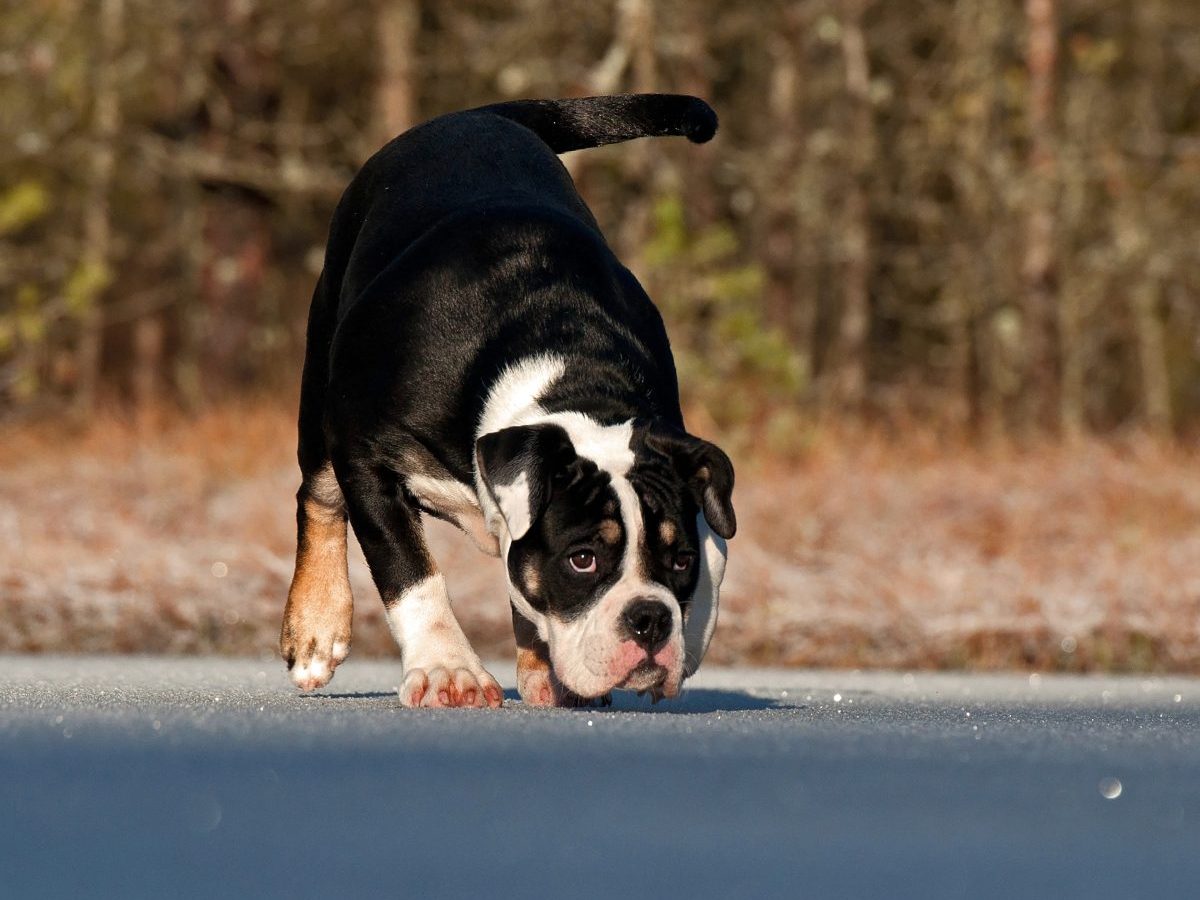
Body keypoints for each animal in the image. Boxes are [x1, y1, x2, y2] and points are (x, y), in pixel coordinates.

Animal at [280, 95, 734, 710]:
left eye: (680, 560)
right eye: (583, 559)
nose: (650, 619)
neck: (567, 374)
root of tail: (477, 115)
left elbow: (716, 553)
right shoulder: (365, 453)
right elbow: (411, 571)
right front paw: (448, 667)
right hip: (324, 372)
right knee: (319, 495)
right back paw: (317, 624)